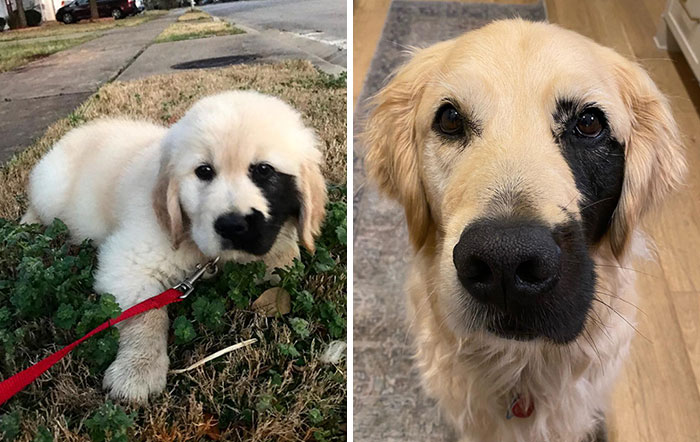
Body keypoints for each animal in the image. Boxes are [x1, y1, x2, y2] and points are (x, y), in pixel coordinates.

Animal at [23, 91, 326, 402]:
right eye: (204, 171)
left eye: (264, 171)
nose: (232, 225)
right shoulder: (127, 261)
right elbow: (147, 313)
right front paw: (138, 368)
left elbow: (284, 259)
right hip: (50, 188)